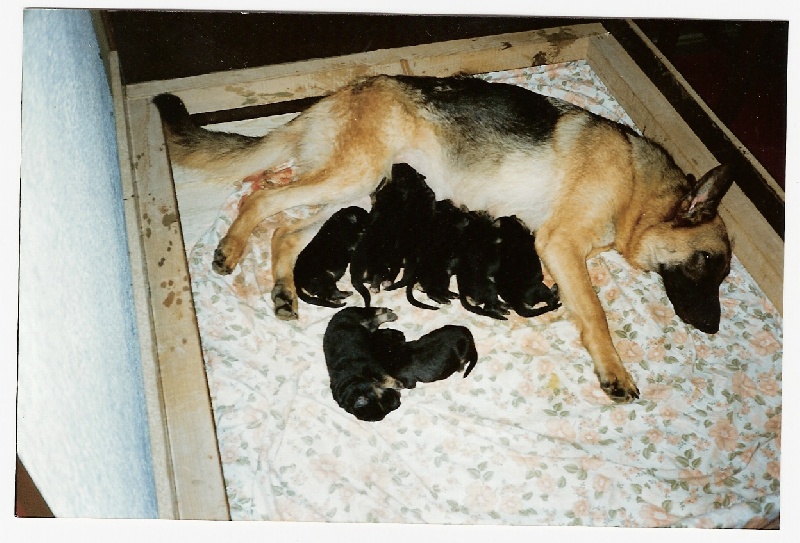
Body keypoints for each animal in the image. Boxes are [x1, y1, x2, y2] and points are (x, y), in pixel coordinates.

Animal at [350, 162, 434, 306]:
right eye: (408, 168)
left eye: (397, 168)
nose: (394, 163)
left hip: (386, 260)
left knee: (383, 273)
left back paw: (378, 285)